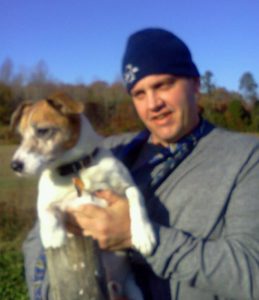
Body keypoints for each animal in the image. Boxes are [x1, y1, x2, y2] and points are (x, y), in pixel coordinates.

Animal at [10, 92, 156, 300]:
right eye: (21, 136)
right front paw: (54, 236)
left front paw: (144, 235)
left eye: (42, 131)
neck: (76, 169)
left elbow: (136, 197)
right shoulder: (51, 200)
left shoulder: (126, 185)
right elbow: (46, 211)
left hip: (133, 289)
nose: (15, 165)